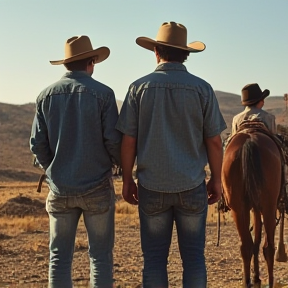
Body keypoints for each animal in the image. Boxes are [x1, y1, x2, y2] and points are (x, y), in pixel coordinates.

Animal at [220, 130, 286, 288]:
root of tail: (248, 141)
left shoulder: (254, 208)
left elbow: (255, 239)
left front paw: (255, 278)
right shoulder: (260, 207)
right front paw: (257, 278)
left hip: (239, 208)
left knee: (246, 246)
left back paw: (247, 282)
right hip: (268, 206)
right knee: (268, 247)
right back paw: (269, 281)